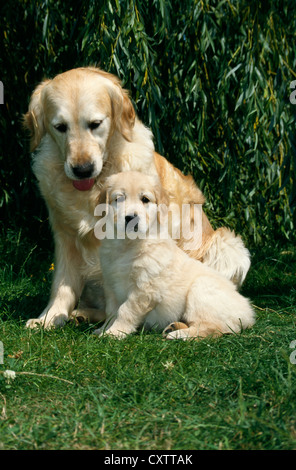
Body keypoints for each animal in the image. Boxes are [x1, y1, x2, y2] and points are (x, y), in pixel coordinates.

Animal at [94, 172, 254, 338]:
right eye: (119, 198)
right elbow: (111, 311)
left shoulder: (145, 288)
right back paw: (173, 327)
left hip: (201, 290)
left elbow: (125, 310)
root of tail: (248, 312)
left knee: (211, 328)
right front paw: (104, 328)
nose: (131, 218)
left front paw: (114, 332)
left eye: (145, 199)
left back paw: (179, 334)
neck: (127, 244)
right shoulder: (111, 284)